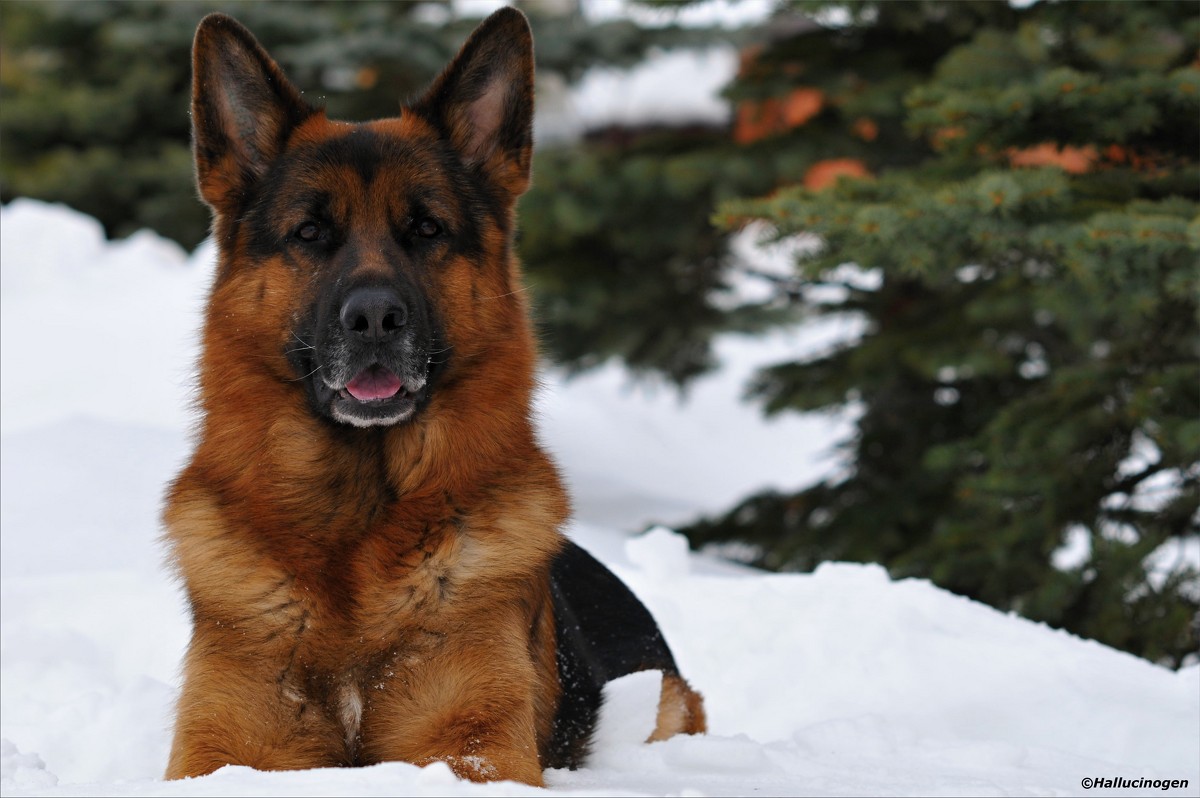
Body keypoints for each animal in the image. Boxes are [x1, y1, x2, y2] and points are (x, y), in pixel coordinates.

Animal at [160, 7, 700, 782]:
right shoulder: (227, 753)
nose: (374, 318)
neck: (358, 517)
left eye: (426, 228)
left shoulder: (470, 746)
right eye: (310, 232)